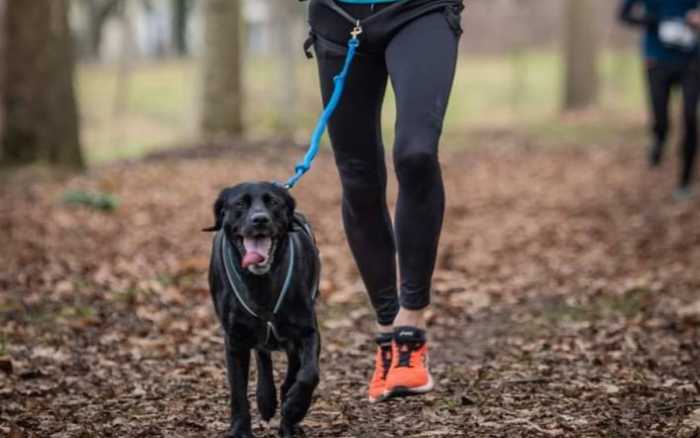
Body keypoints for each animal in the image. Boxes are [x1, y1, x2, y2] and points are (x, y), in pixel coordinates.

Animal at [204, 182, 322, 438]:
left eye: (274, 202)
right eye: (240, 203)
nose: (260, 219)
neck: (260, 282)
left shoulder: (307, 331)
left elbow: (309, 374)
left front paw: (295, 407)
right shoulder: (235, 341)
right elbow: (238, 392)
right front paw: (240, 430)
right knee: (263, 354)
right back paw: (266, 400)